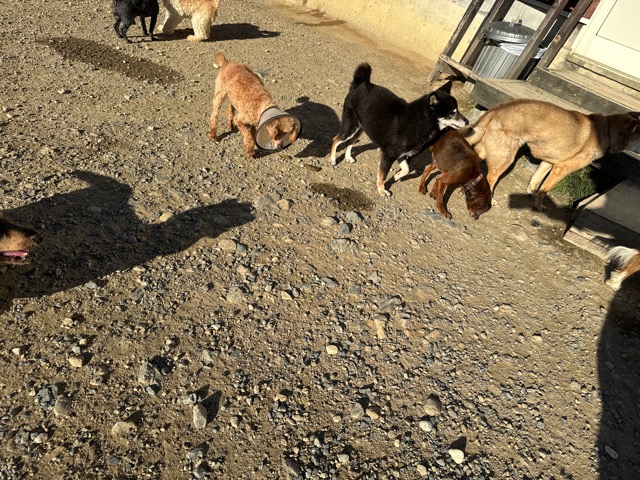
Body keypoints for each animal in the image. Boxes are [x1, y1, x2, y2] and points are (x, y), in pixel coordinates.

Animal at [329, 63, 468, 196]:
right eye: (452, 113)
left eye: (457, 110)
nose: (467, 121)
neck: (417, 121)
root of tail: (360, 84)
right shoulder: (389, 155)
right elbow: (383, 175)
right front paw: (382, 191)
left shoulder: (401, 154)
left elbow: (406, 169)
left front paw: (396, 176)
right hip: (350, 126)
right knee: (336, 139)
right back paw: (332, 159)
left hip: (360, 128)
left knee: (350, 141)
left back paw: (348, 157)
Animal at [463, 99, 640, 210]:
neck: (608, 130)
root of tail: (495, 110)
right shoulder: (562, 168)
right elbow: (545, 190)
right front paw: (539, 206)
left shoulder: (549, 162)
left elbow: (536, 181)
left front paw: (531, 194)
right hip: (505, 159)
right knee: (490, 179)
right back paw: (490, 200)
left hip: (484, 150)